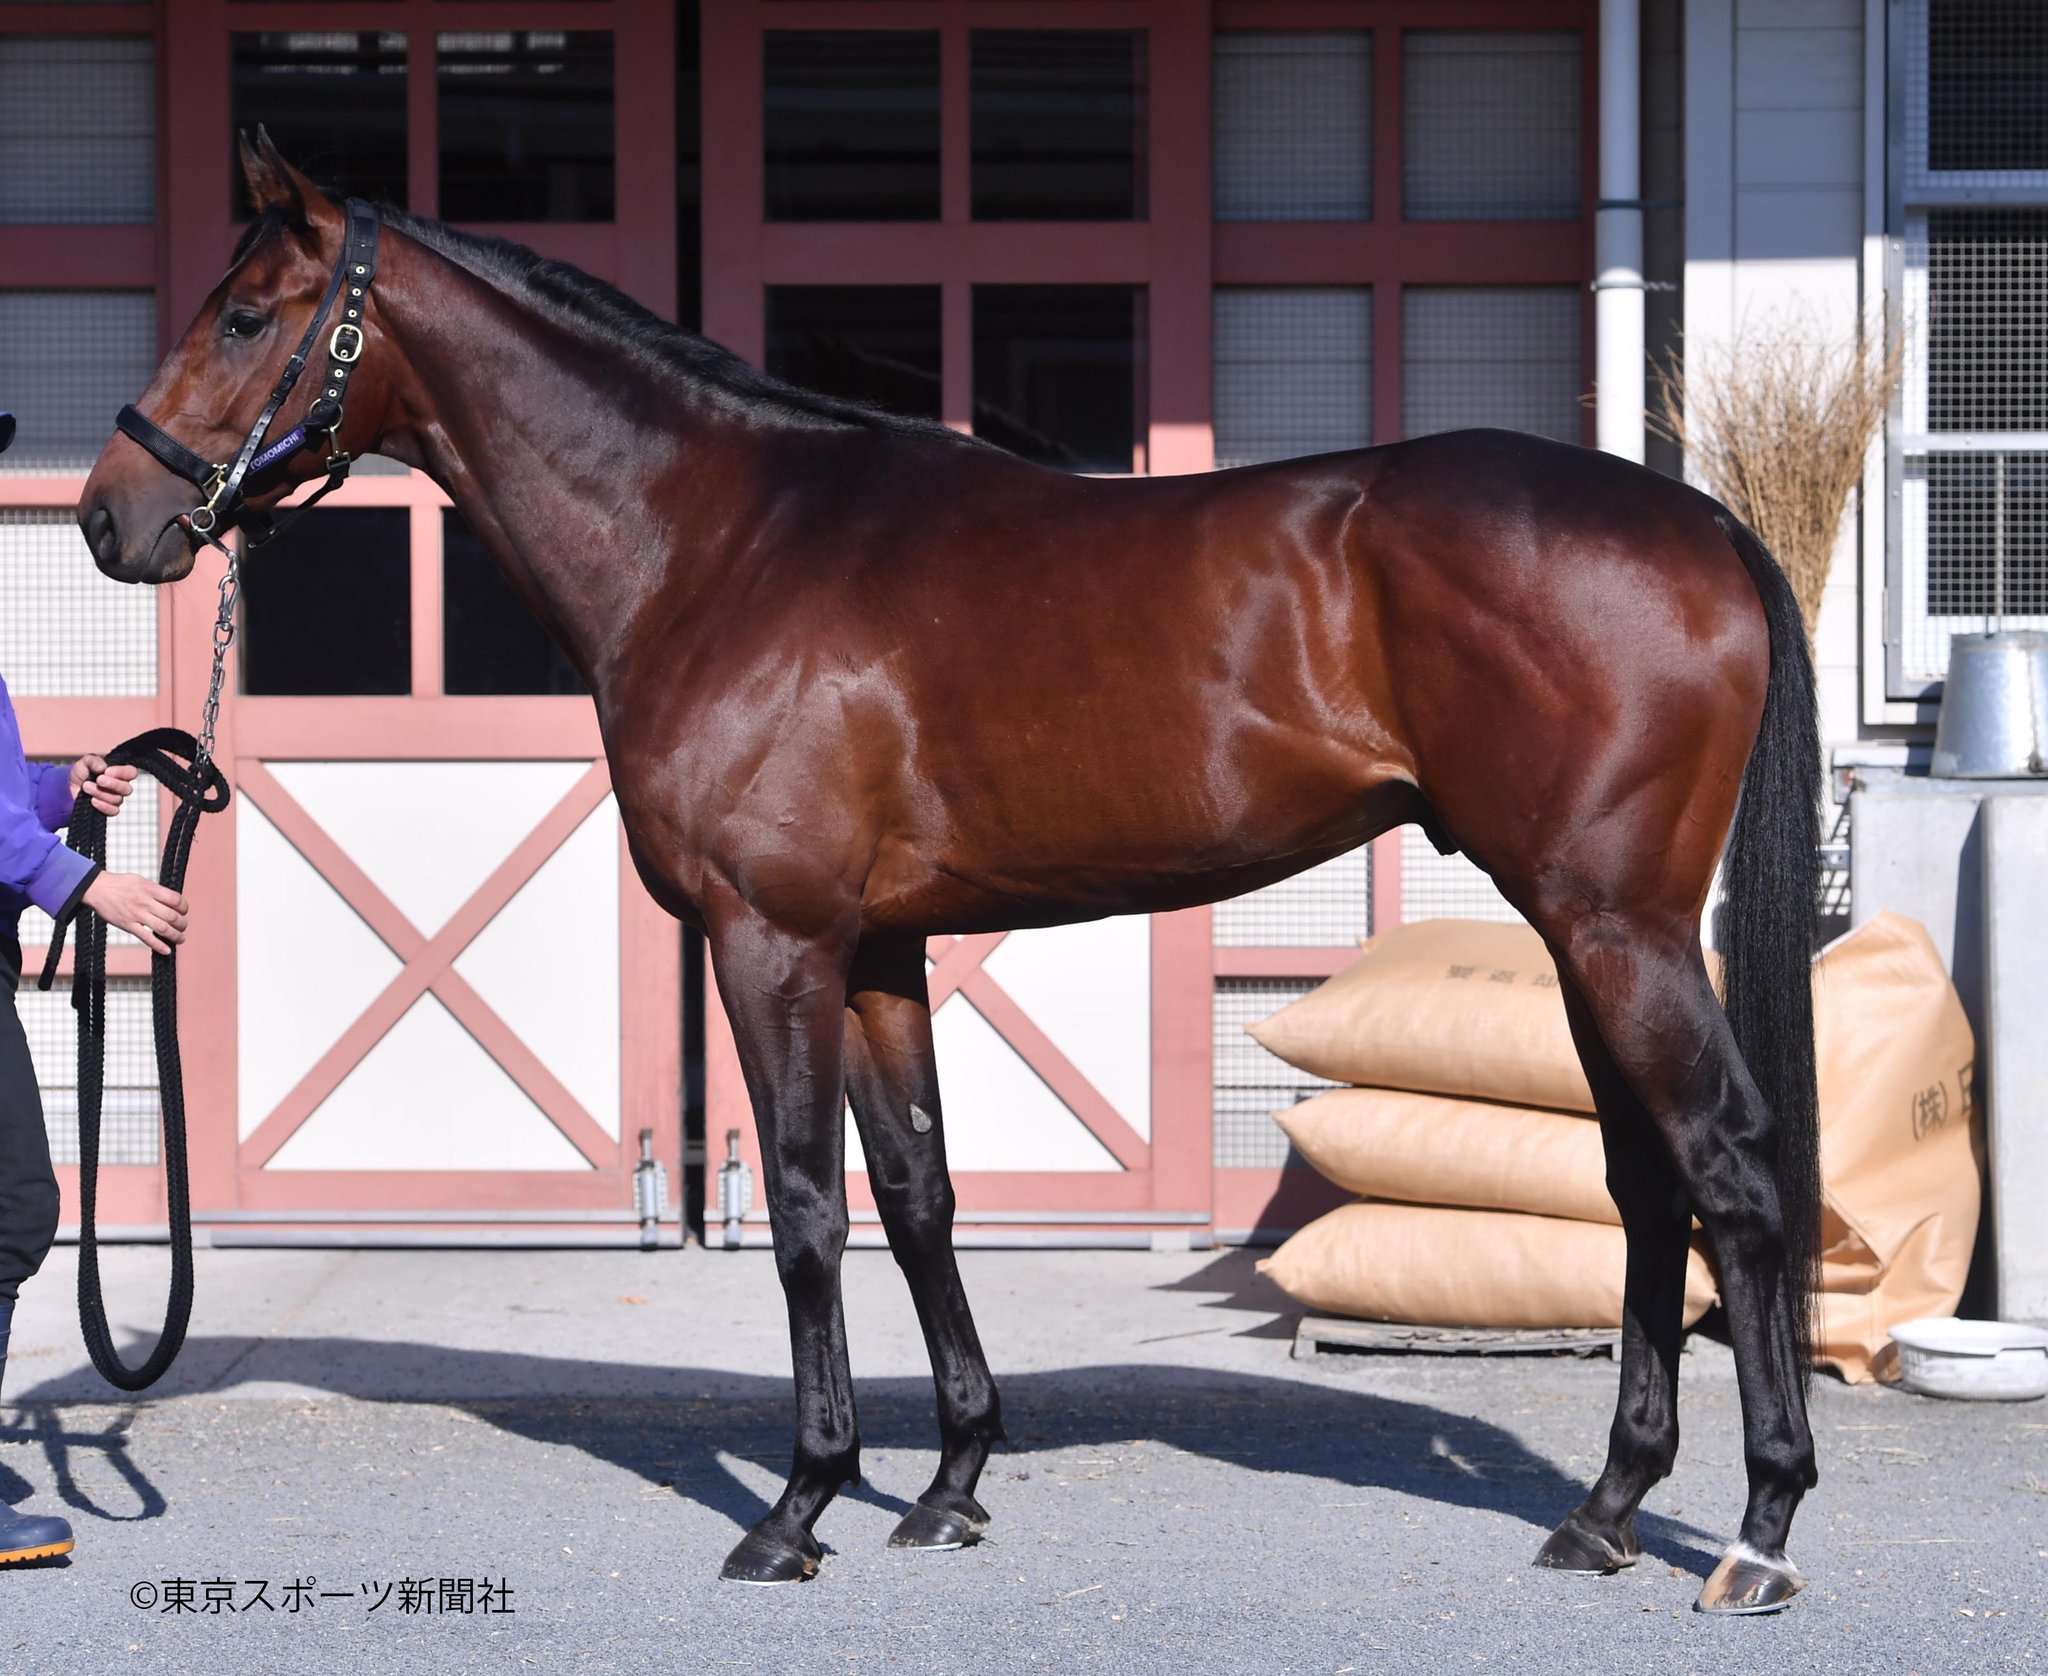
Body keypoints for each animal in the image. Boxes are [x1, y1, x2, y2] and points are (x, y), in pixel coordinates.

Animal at [78, 132, 1823, 1614]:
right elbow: (918, 1195)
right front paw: (950, 1483)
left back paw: (1755, 1531)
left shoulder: (770, 941)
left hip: (1618, 928)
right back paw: (1604, 1511)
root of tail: (1697, 524)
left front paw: (799, 1507)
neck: (720, 542)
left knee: (1731, 1171)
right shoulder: (876, 956)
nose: (112, 517)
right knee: (1648, 1184)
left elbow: (802, 1209)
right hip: (1587, 932)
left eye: (247, 315)